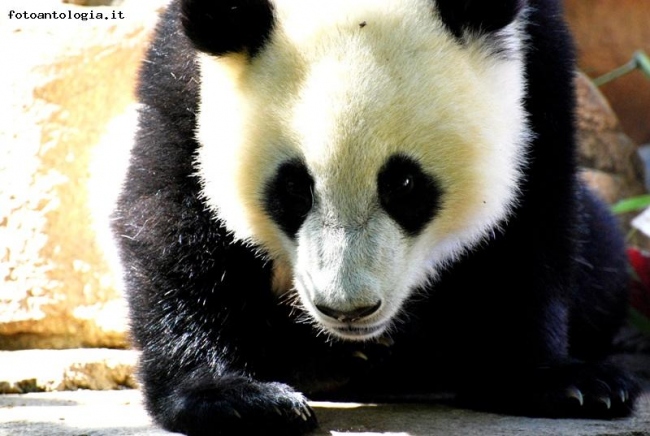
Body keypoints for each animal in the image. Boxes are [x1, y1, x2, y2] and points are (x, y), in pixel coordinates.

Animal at [112, 0, 640, 434]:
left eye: (403, 185)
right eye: (293, 188)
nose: (348, 309)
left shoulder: (539, 66)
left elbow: (530, 221)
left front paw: (559, 382)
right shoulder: (183, 80)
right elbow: (172, 221)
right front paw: (231, 398)